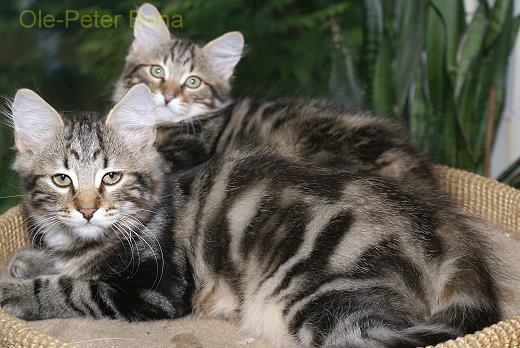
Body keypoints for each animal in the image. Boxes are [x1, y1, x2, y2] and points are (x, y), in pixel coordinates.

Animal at [2, 84, 502, 348]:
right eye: (62, 179)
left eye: (111, 177)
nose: (87, 210)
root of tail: (441, 231)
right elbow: (61, 265)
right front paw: (28, 259)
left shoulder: (156, 291)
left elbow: (69, 288)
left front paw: (15, 291)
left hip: (323, 294)